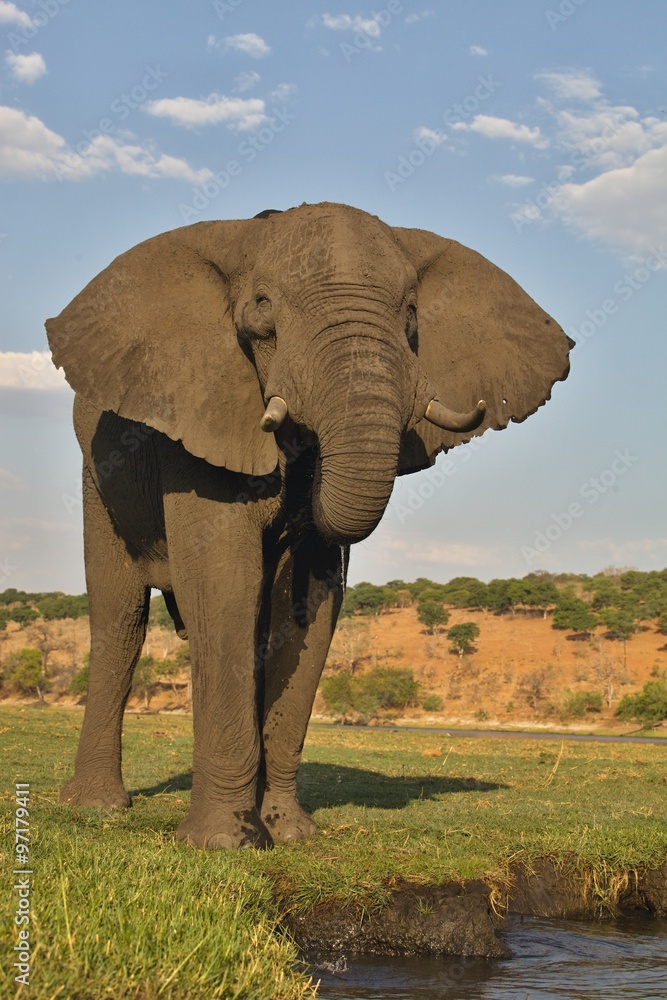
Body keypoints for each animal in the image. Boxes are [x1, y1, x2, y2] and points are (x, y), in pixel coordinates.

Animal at [46, 202, 572, 849]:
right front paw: (222, 844)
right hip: (97, 475)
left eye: (412, 314)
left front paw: (290, 834)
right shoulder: (199, 419)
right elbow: (224, 583)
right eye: (262, 306)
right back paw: (96, 807)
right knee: (121, 619)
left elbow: (311, 611)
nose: (299, 461)